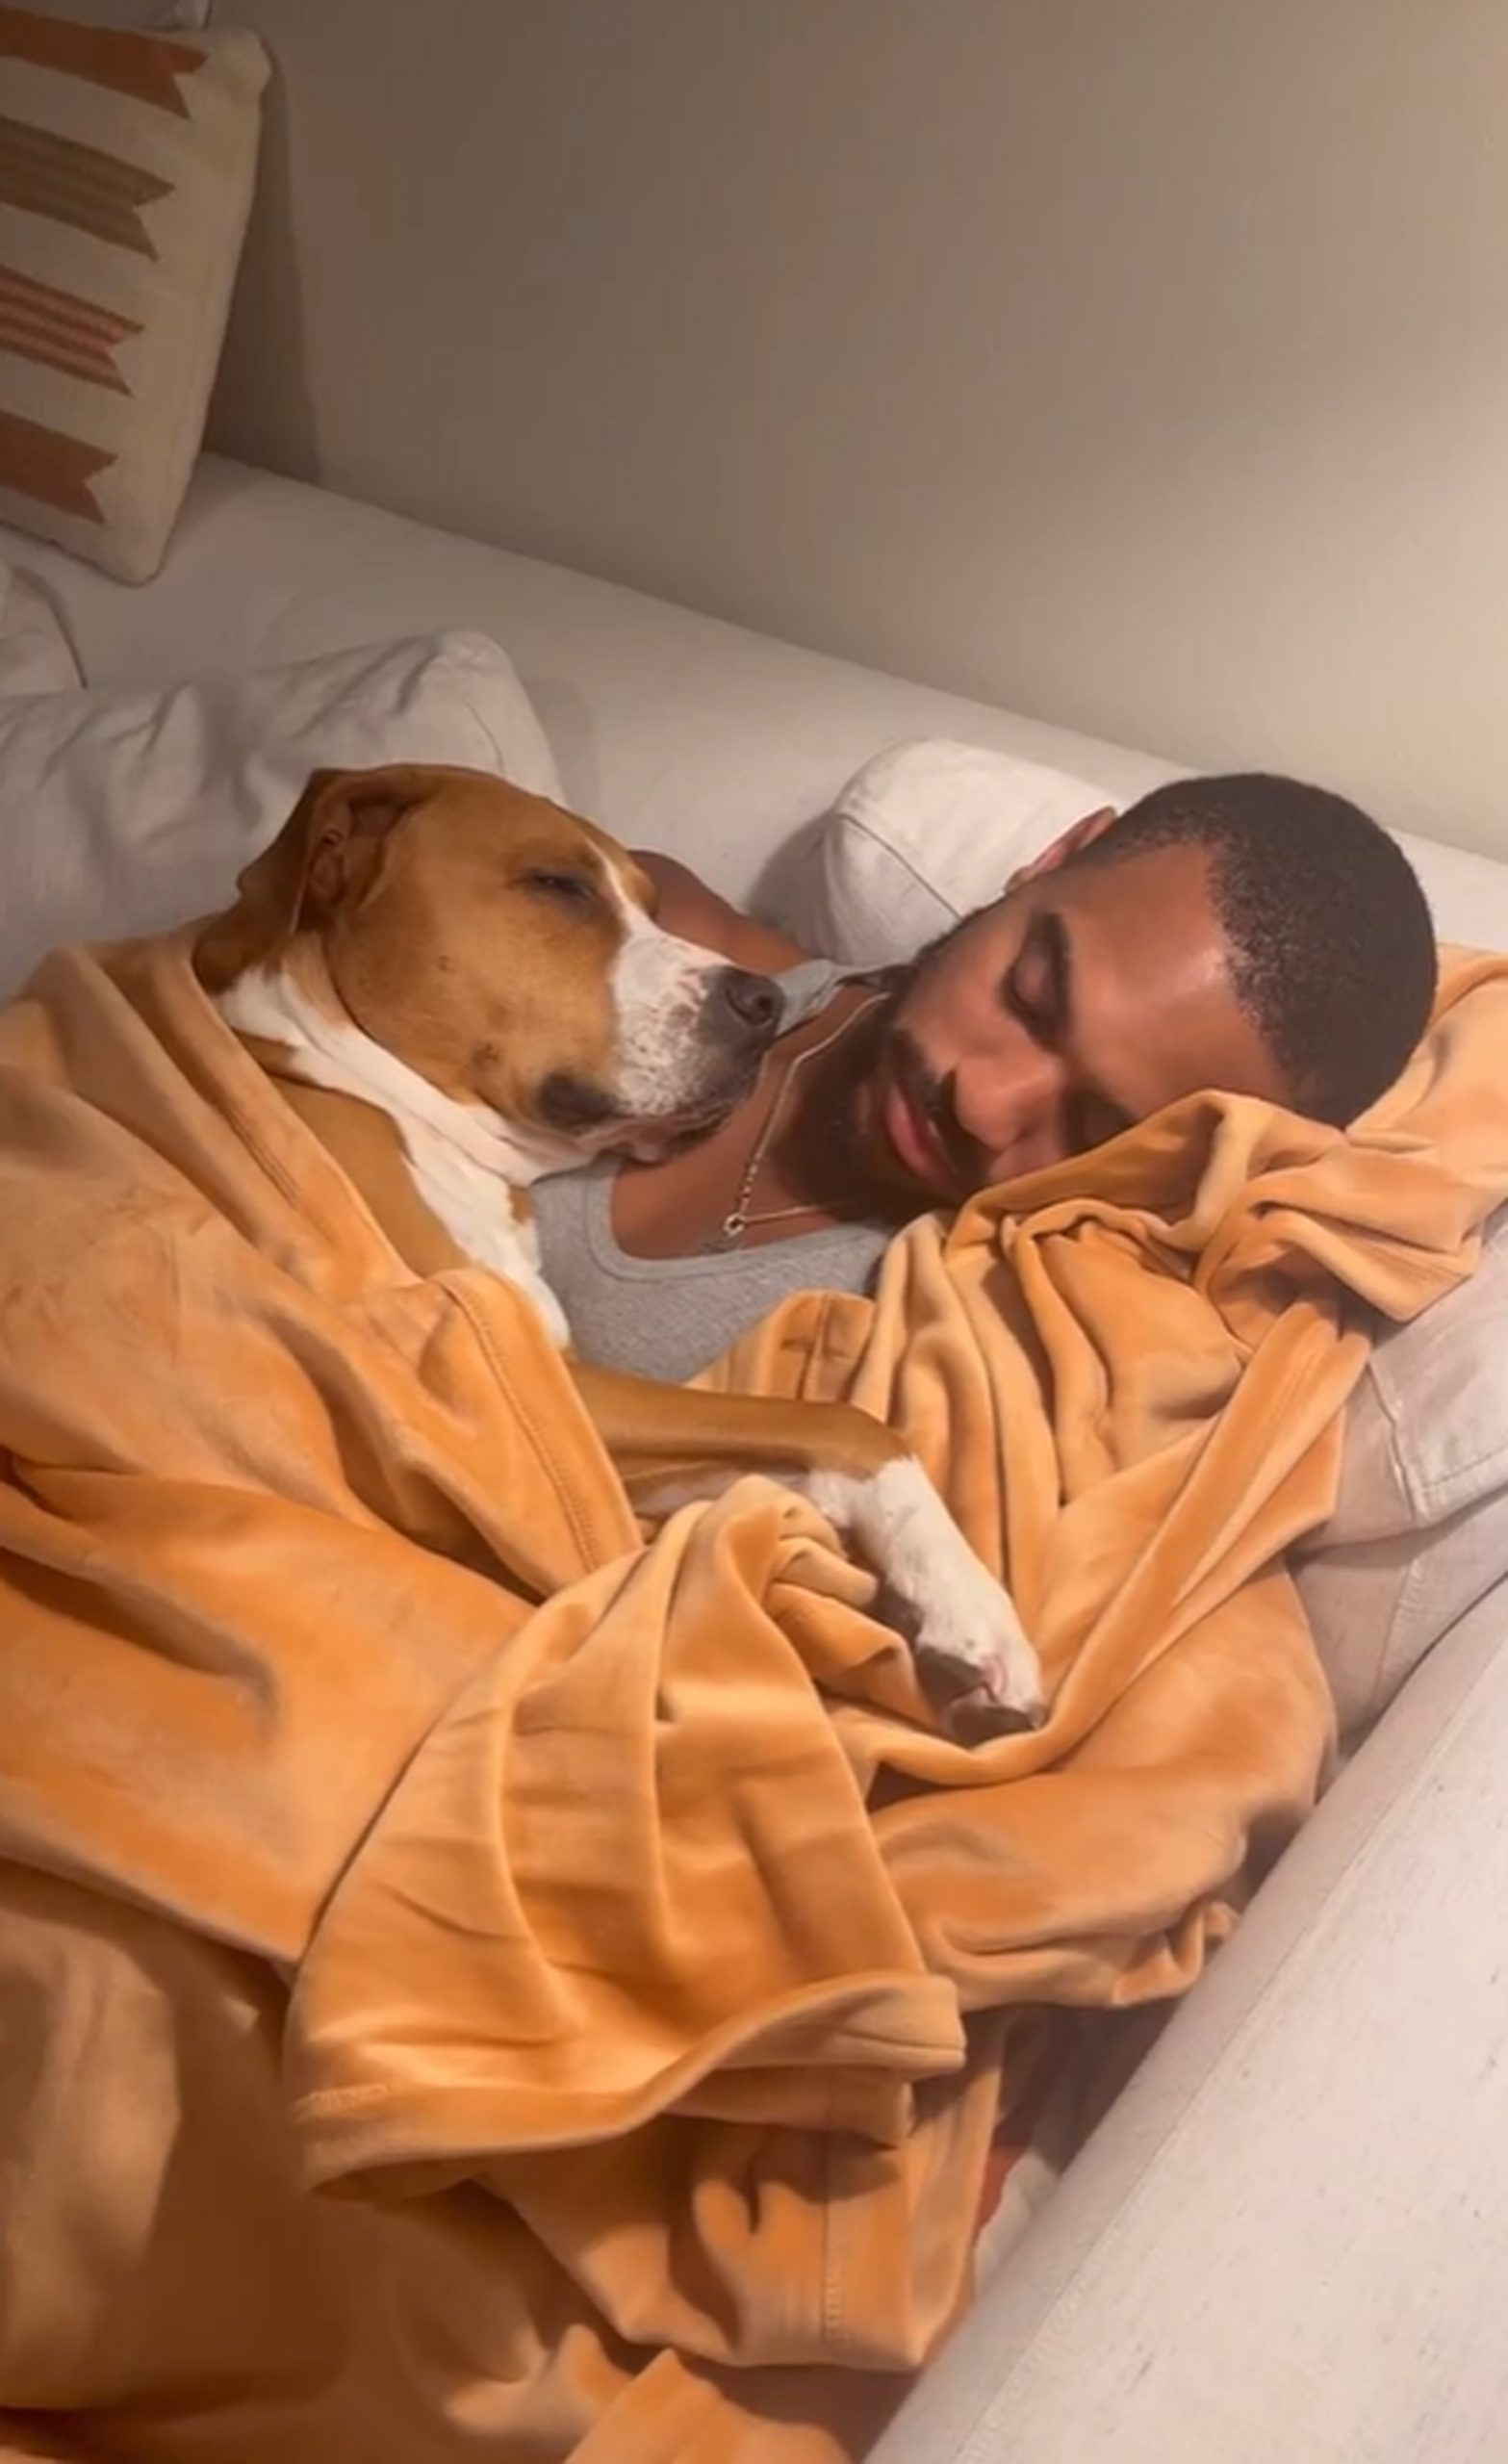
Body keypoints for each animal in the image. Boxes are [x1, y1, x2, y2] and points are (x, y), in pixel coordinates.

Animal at [194, 763, 1044, 1734]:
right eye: (557, 885)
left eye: (651, 900)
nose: (763, 1003)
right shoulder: (519, 1384)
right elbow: (845, 1421)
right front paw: (969, 1605)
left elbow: (756, 1462)